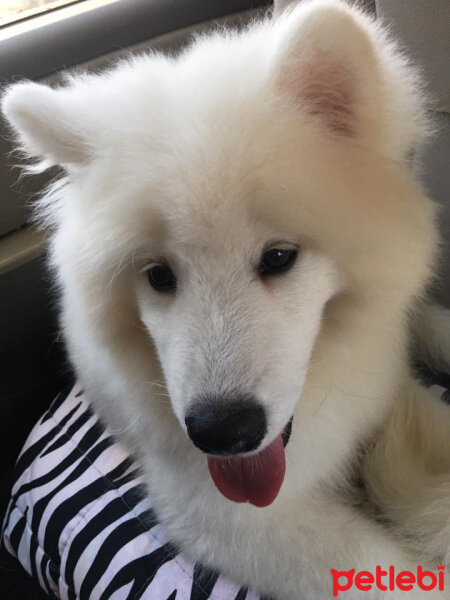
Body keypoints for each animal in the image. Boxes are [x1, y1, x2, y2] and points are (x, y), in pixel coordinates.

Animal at [3, 0, 450, 596]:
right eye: (158, 275)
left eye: (279, 257)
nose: (222, 434)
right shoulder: (224, 515)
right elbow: (377, 570)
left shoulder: (386, 387)